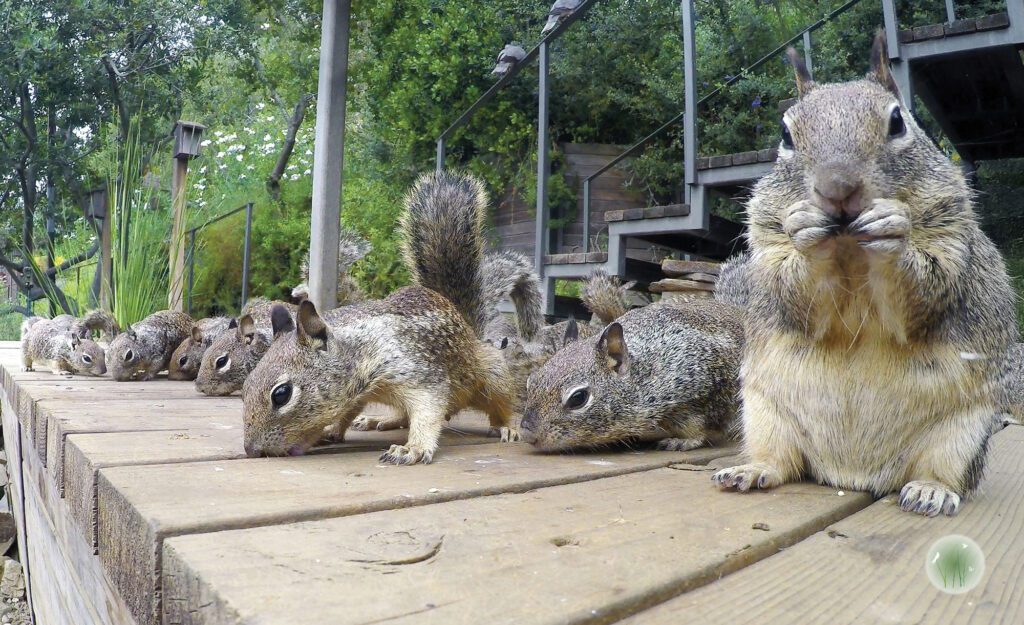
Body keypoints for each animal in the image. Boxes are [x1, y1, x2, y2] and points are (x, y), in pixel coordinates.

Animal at [241, 171, 519, 464]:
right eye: (245, 386)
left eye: (281, 394)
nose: (251, 450)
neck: (360, 348)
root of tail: (467, 327)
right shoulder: (357, 395)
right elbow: (348, 413)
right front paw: (333, 430)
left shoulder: (419, 372)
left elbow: (427, 411)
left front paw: (413, 447)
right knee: (402, 415)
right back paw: (379, 421)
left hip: (491, 374)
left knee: (500, 404)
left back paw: (505, 427)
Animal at [520, 297, 744, 451]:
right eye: (530, 383)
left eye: (578, 398)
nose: (527, 434)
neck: (647, 368)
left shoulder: (702, 395)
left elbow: (698, 427)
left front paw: (683, 441)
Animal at [712, 33, 1018, 517]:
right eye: (785, 134)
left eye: (897, 121)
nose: (837, 189)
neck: (850, 249)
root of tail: (852, 474)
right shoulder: (768, 237)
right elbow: (795, 294)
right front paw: (806, 231)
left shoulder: (949, 233)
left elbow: (923, 292)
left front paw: (892, 230)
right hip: (762, 413)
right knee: (783, 461)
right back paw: (751, 469)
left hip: (964, 434)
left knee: (944, 471)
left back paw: (930, 490)